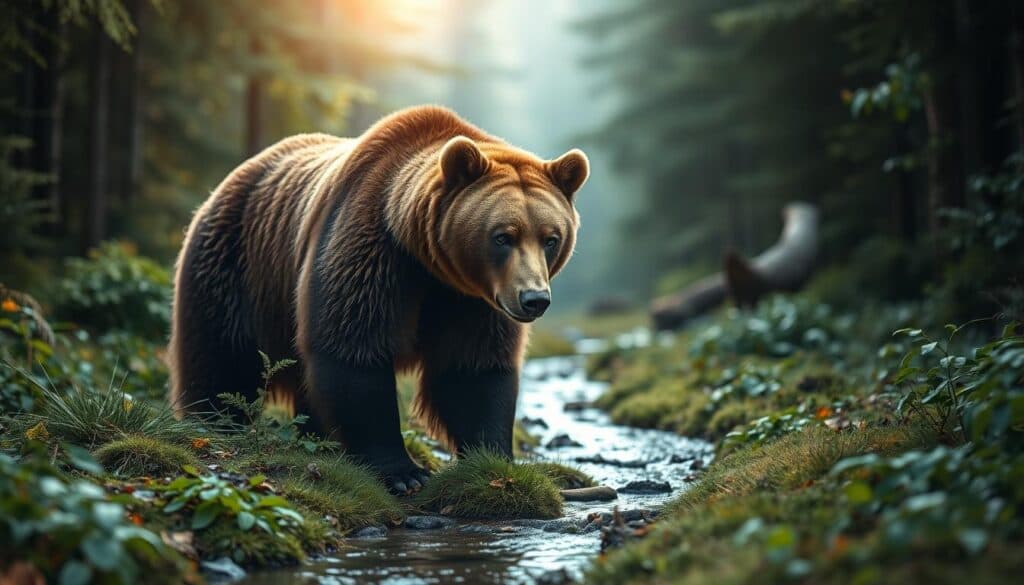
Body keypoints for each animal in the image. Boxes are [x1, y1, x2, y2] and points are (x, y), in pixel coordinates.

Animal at [168, 105, 589, 492]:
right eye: (503, 236)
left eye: (551, 238)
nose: (534, 298)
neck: (428, 261)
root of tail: (231, 179)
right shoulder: (372, 252)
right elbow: (353, 351)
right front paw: (403, 473)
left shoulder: (472, 298)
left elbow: (473, 368)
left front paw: (493, 462)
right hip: (235, 267)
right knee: (220, 357)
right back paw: (215, 423)